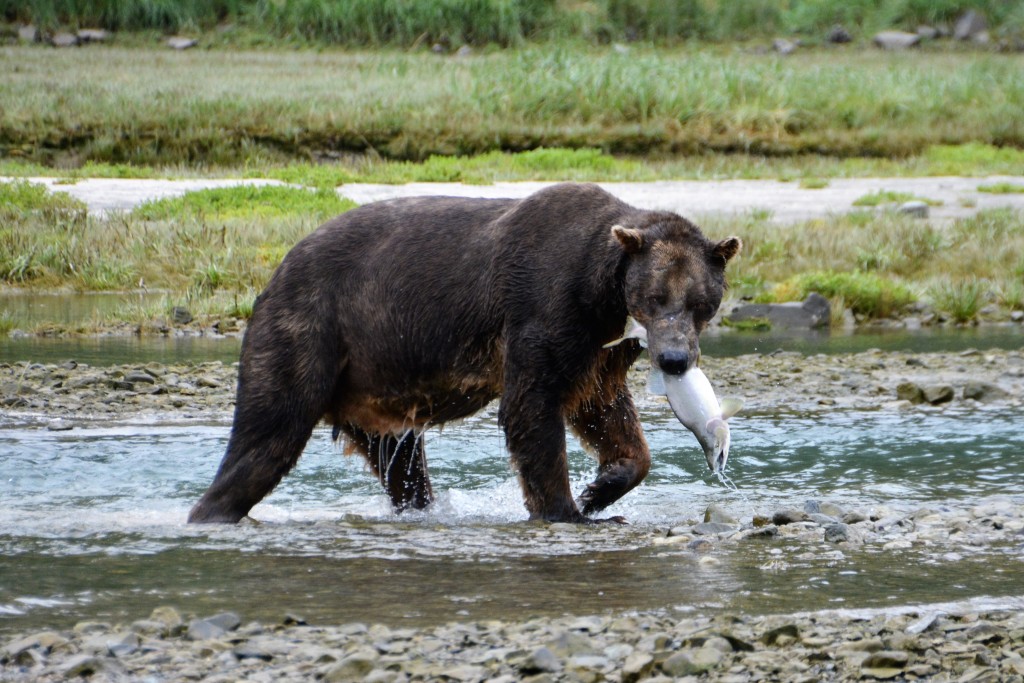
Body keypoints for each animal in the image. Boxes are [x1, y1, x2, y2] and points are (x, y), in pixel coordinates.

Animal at [188, 181, 741, 524]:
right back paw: (212, 511)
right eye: (654, 297)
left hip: (372, 384)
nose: (674, 360)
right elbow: (532, 406)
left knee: (402, 463)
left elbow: (602, 410)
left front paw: (601, 488)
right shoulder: (546, 306)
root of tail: (278, 268)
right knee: (269, 431)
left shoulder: (601, 347)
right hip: (311, 329)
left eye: (701, 302)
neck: (603, 293)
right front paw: (568, 508)